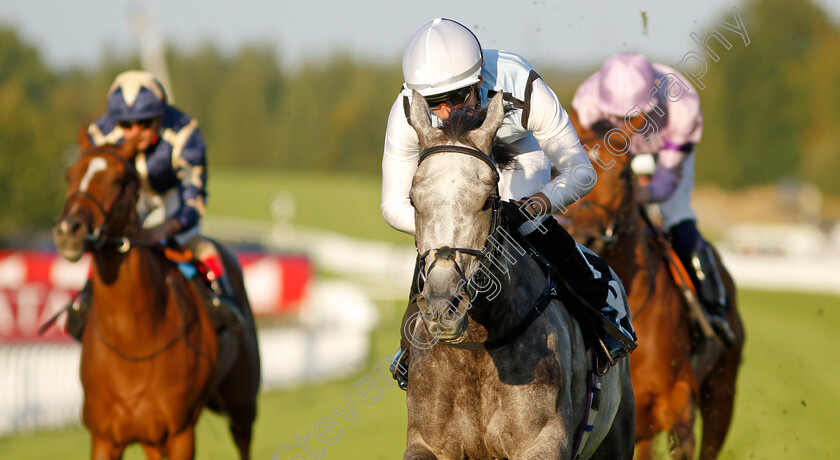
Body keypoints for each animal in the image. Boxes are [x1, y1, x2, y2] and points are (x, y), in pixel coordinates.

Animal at [52, 130, 260, 460]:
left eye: (118, 180)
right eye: (70, 174)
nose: (68, 229)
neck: (132, 338)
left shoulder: (180, 433)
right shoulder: (106, 436)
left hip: (242, 402)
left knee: (243, 438)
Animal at [404, 90, 632, 460]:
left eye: (487, 201)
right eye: (413, 201)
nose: (442, 308)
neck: (478, 345)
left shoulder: (542, 442)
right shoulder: (428, 443)